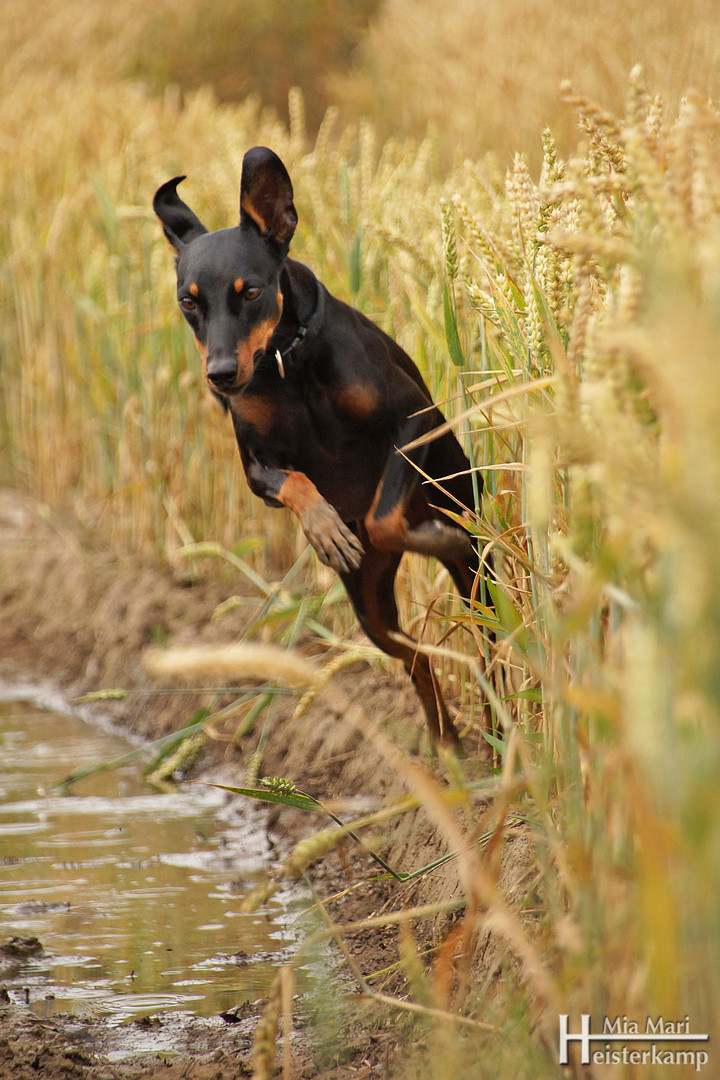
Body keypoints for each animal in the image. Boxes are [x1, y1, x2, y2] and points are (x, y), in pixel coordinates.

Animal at [153, 147, 490, 747]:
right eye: (188, 303)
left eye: (251, 291)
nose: (221, 376)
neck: (287, 362)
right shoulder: (256, 468)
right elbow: (296, 483)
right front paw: (326, 530)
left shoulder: (412, 421)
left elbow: (381, 513)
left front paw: (428, 536)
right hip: (370, 604)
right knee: (417, 659)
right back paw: (447, 745)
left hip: (478, 560)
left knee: (493, 645)